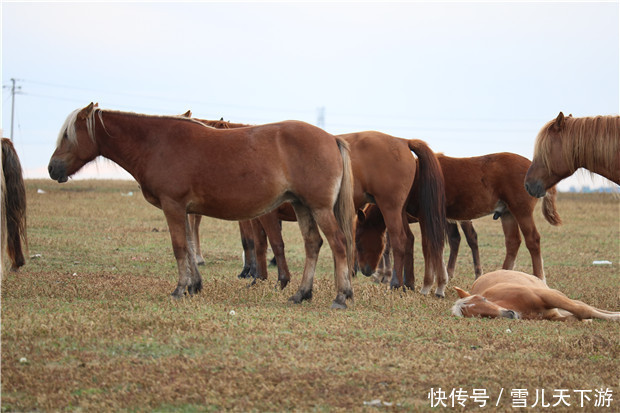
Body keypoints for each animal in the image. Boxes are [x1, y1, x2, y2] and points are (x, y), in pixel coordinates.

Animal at [49, 103, 356, 308]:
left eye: (67, 136)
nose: (52, 168)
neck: (156, 144)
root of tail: (332, 138)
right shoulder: (183, 210)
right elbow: (188, 245)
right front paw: (194, 285)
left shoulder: (173, 206)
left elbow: (179, 247)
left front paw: (179, 289)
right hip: (303, 206)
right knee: (313, 245)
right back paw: (301, 293)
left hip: (319, 208)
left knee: (338, 243)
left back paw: (341, 295)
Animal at [186, 117, 448, 294]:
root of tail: (403, 141)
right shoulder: (258, 217)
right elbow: (260, 245)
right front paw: (258, 278)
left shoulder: (268, 216)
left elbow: (275, 244)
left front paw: (279, 280)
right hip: (397, 208)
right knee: (409, 240)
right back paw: (408, 284)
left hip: (389, 206)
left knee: (399, 240)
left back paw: (394, 283)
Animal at [354, 152, 560, 284]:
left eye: (359, 242)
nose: (364, 270)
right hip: (507, 214)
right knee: (512, 242)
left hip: (520, 211)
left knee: (532, 240)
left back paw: (539, 279)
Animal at [450, 270, 620, 322]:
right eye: (478, 315)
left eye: (484, 299)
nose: (509, 314)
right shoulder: (553, 315)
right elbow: (576, 316)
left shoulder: (548, 296)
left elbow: (584, 310)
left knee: (584, 305)